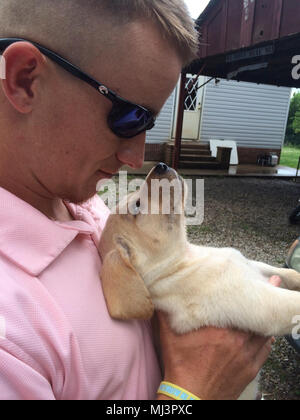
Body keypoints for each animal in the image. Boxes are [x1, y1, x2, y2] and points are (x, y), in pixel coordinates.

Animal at [99, 163, 300, 400]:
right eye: (137, 206)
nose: (160, 165)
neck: (184, 258)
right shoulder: (259, 301)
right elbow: (293, 301)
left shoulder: (251, 266)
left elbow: (279, 270)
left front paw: (296, 275)